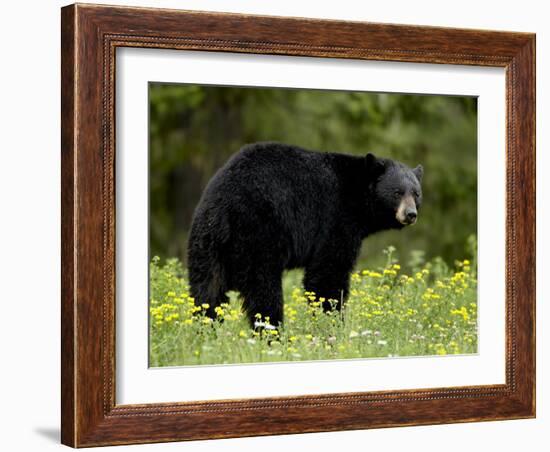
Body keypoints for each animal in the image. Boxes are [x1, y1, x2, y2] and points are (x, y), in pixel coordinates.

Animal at [188, 143, 424, 326]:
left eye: (416, 193)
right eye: (397, 192)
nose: (410, 214)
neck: (357, 197)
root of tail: (223, 206)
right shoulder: (335, 219)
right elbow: (328, 273)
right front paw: (332, 322)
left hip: (206, 243)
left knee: (207, 290)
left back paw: (207, 329)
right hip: (258, 234)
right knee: (263, 290)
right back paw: (272, 333)